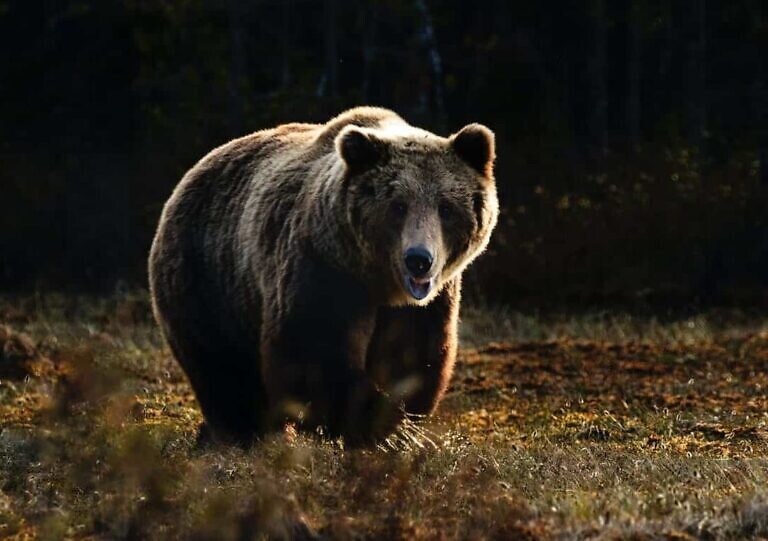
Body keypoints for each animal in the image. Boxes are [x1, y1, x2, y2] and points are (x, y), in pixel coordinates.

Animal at [149, 107, 498, 446]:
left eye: (445, 208)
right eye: (398, 206)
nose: (419, 260)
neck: (377, 281)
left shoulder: (424, 304)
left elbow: (411, 357)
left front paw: (396, 423)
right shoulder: (322, 268)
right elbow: (313, 351)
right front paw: (374, 423)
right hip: (207, 278)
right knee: (223, 369)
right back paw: (243, 433)